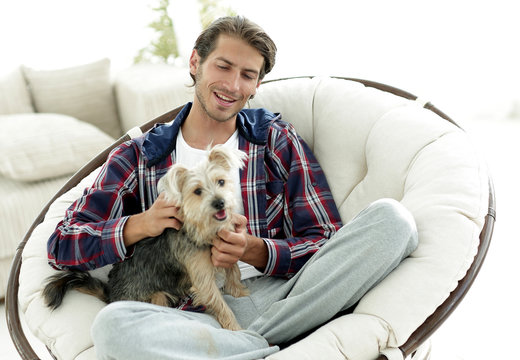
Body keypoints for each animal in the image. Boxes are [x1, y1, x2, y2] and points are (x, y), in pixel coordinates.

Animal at [41, 145, 249, 330]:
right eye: (197, 191)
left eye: (221, 182)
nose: (220, 202)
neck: (202, 227)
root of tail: (111, 295)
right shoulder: (203, 279)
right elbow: (220, 304)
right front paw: (235, 327)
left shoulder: (226, 247)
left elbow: (234, 271)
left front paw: (240, 293)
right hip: (156, 297)